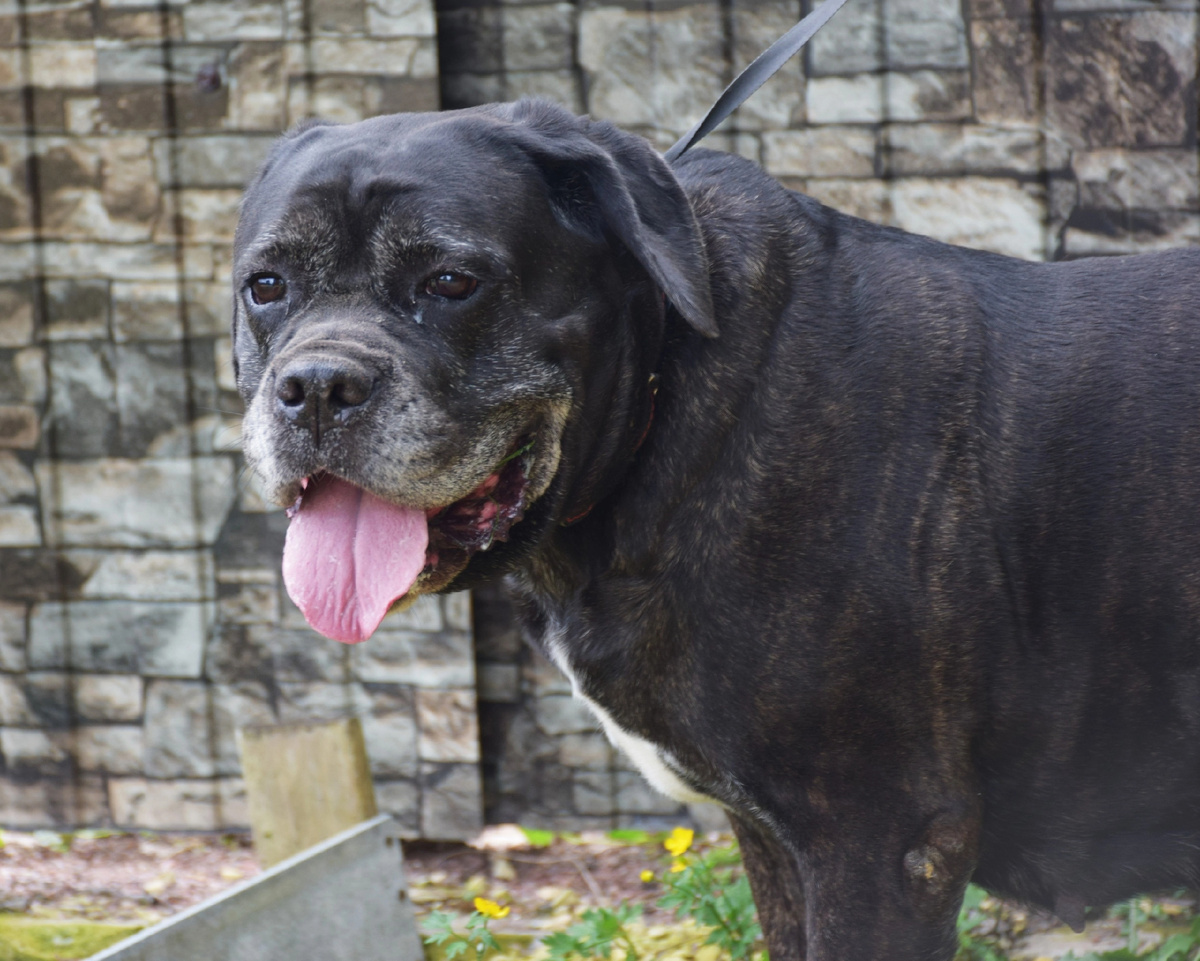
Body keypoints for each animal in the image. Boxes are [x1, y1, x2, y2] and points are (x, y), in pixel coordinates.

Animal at [231, 99, 1200, 959]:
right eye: (266, 286)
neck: (665, 408)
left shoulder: (881, 840)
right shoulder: (777, 839)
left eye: (450, 283)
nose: (317, 386)